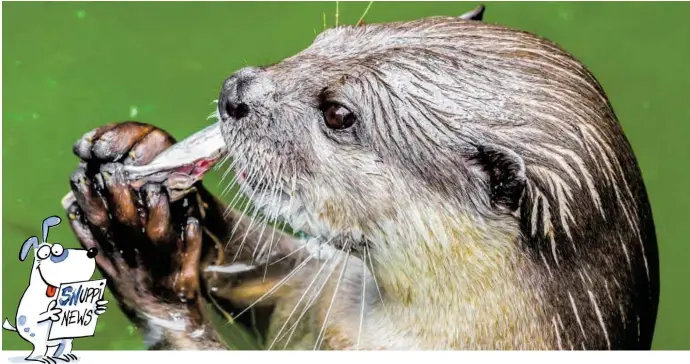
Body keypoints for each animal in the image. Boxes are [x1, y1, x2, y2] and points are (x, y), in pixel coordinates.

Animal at [63, 4, 656, 350]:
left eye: (339, 114)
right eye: (322, 42)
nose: (236, 90)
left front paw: (146, 257)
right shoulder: (324, 296)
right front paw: (137, 147)